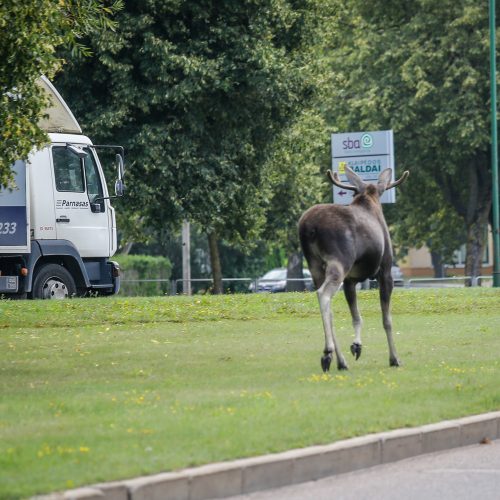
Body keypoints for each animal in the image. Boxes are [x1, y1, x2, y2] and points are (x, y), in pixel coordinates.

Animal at [296, 168, 410, 372]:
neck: (369, 198)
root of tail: (308, 228)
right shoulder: (386, 271)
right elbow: (387, 319)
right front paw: (394, 358)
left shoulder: (350, 280)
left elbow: (356, 316)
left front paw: (357, 345)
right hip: (340, 260)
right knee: (323, 294)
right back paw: (327, 352)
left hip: (314, 265)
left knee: (329, 309)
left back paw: (341, 361)